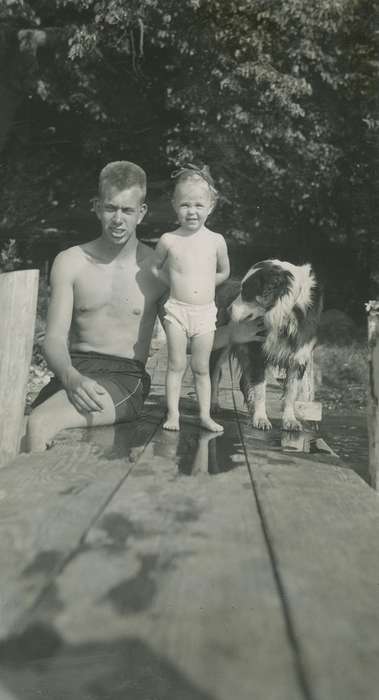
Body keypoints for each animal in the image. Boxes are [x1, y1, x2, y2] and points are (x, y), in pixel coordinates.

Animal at [211, 258, 324, 430]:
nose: (228, 310)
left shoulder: (299, 357)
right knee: (214, 373)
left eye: (246, 291)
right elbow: (260, 390)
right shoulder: (257, 354)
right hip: (222, 345)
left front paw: (290, 420)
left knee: (242, 381)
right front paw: (261, 418)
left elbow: (291, 392)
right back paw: (214, 404)